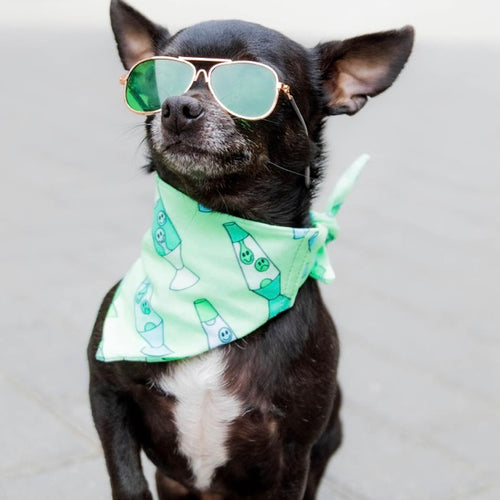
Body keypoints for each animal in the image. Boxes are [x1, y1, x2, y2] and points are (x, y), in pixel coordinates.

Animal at [88, 1, 412, 498]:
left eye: (250, 83)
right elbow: (127, 480)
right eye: (157, 77)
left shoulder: (293, 450)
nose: (177, 106)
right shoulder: (106, 392)